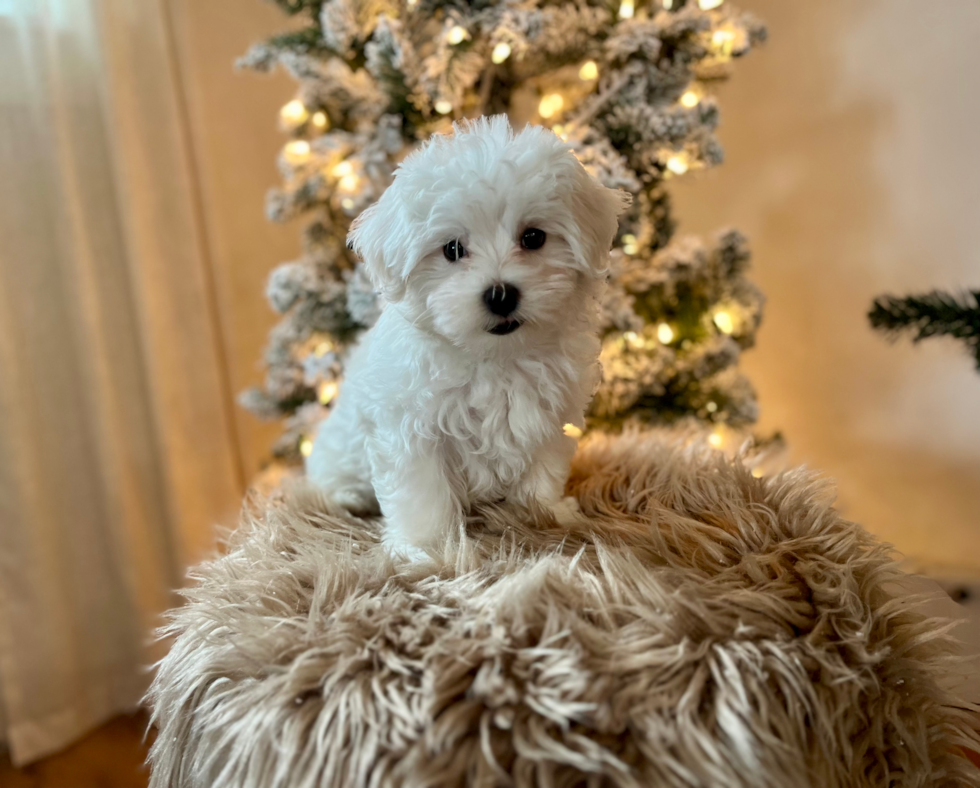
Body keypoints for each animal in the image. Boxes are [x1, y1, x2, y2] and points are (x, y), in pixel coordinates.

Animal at [306, 115, 628, 556]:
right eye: (453, 249)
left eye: (533, 237)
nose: (501, 294)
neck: (493, 357)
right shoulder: (412, 429)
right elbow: (422, 493)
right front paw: (427, 549)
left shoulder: (547, 418)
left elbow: (542, 473)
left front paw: (545, 515)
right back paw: (348, 499)